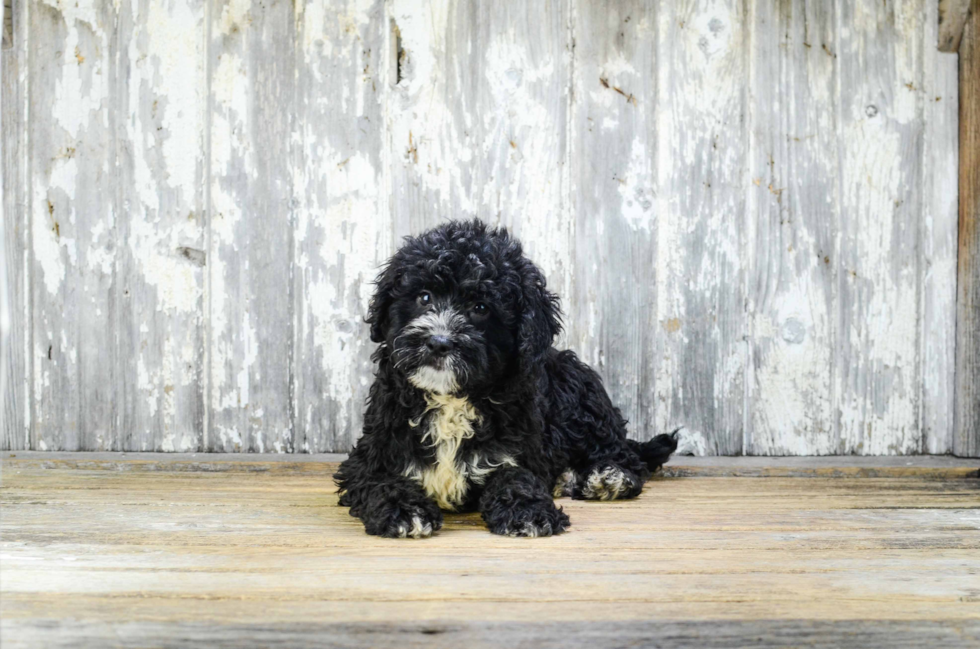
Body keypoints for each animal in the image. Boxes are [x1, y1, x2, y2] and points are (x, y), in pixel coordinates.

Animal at [334, 219, 676, 536]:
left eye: (480, 307)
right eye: (425, 297)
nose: (438, 342)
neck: (451, 399)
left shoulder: (516, 451)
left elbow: (516, 477)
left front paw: (528, 511)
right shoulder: (372, 455)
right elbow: (382, 481)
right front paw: (406, 511)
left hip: (578, 392)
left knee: (626, 454)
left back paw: (608, 476)